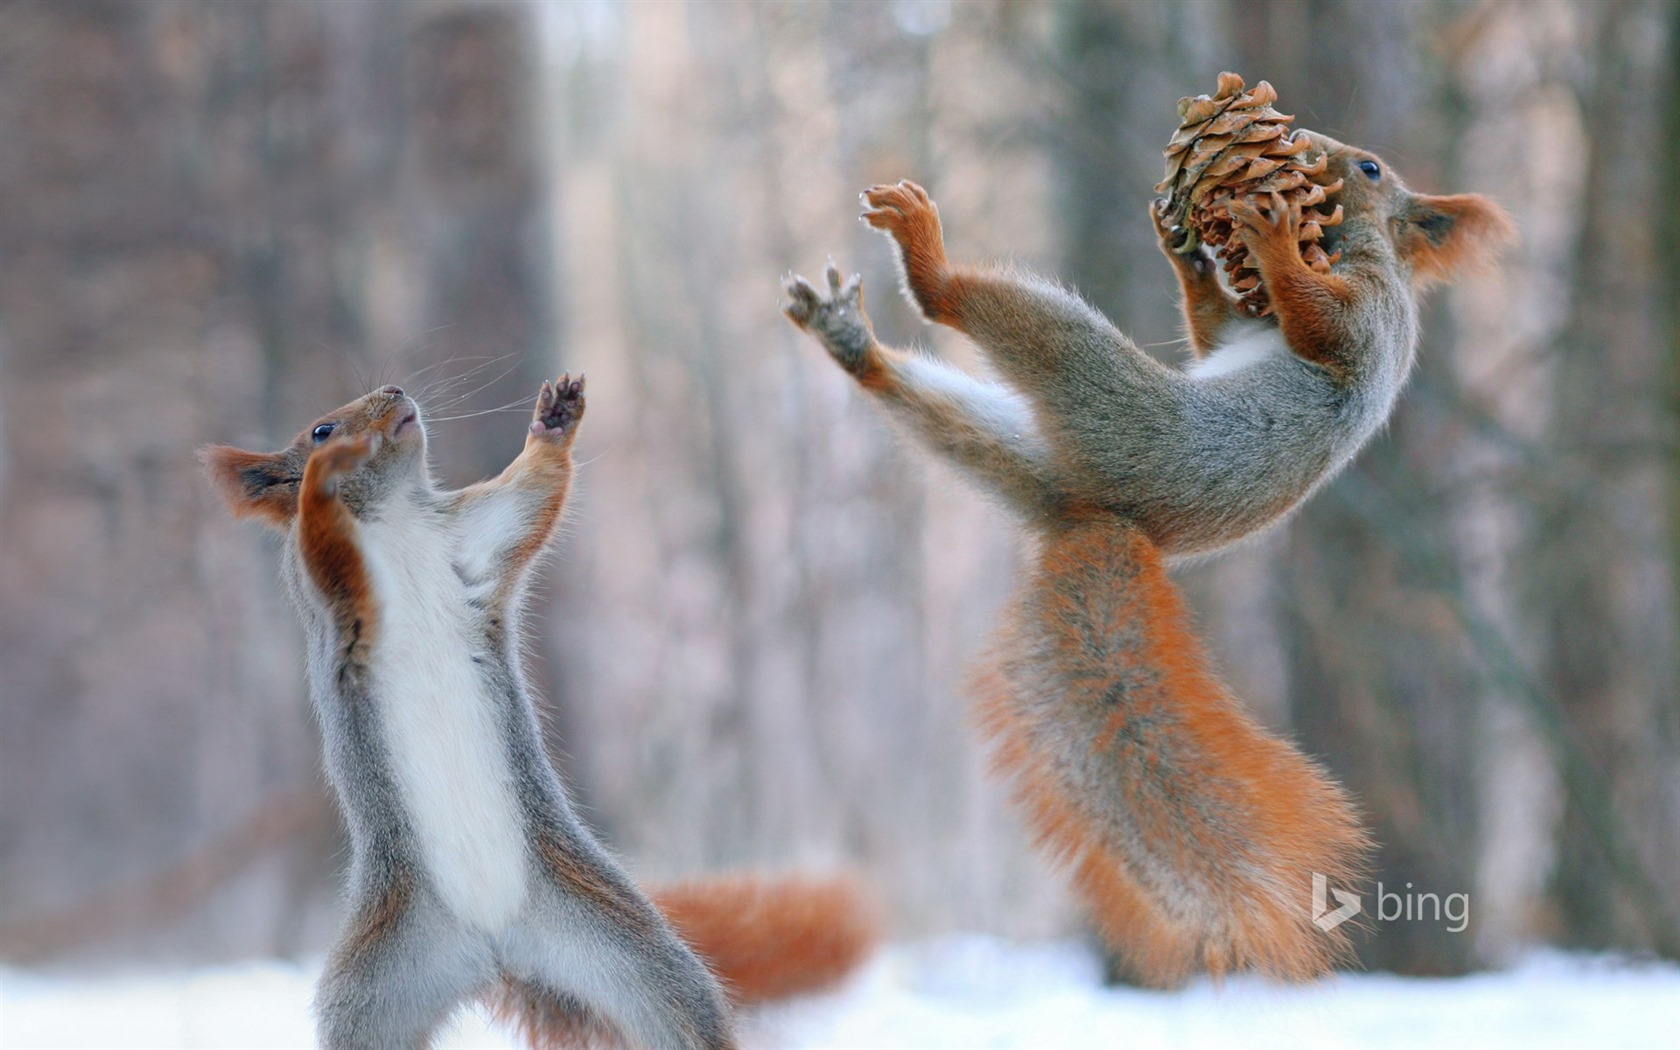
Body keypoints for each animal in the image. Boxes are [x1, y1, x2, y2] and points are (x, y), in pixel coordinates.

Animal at [782, 131, 1512, 981]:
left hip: (1101, 391)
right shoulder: (1241, 330)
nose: (1309, 149)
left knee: (976, 312)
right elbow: (1213, 333)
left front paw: (1267, 240)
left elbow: (1320, 326)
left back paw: (926, 260)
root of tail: (1098, 516)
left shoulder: (1369, 315)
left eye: (1369, 170)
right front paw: (1188, 254)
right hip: (1018, 446)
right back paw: (851, 342)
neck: (1349, 247)